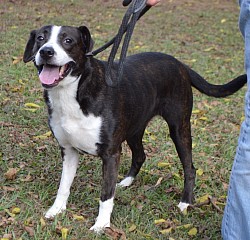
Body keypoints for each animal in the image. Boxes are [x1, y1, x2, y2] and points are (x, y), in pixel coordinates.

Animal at [23, 24, 246, 232]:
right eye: (41, 38)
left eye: (68, 40)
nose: (46, 51)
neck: (74, 91)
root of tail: (179, 63)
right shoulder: (68, 151)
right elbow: (64, 185)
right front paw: (56, 210)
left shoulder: (111, 154)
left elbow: (106, 194)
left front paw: (101, 224)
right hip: (134, 128)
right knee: (140, 155)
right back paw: (126, 182)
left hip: (179, 128)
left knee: (189, 167)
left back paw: (185, 202)